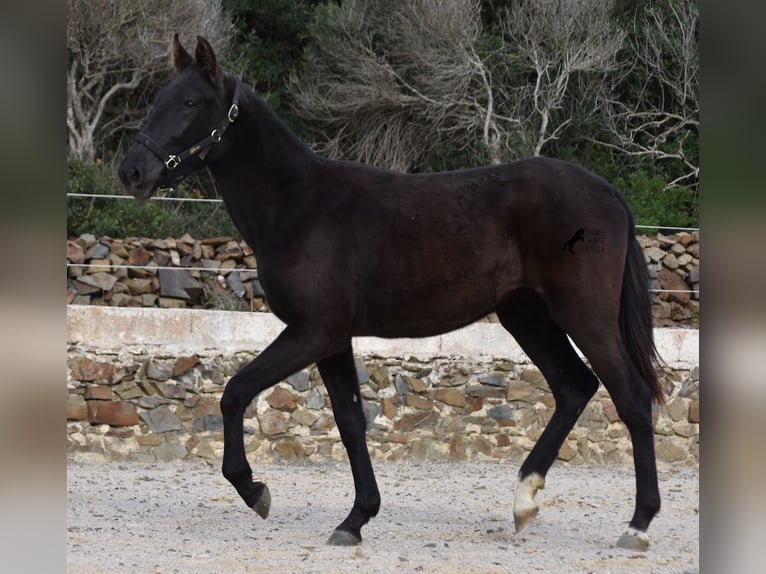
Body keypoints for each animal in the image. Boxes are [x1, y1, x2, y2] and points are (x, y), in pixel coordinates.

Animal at [120, 36, 664, 552]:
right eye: (159, 99)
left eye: (189, 102)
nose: (133, 172)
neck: (300, 207)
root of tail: (609, 193)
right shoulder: (332, 339)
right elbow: (350, 421)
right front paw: (355, 520)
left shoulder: (312, 332)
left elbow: (235, 392)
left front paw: (256, 491)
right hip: (526, 315)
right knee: (575, 387)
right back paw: (525, 501)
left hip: (583, 314)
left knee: (631, 397)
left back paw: (637, 526)